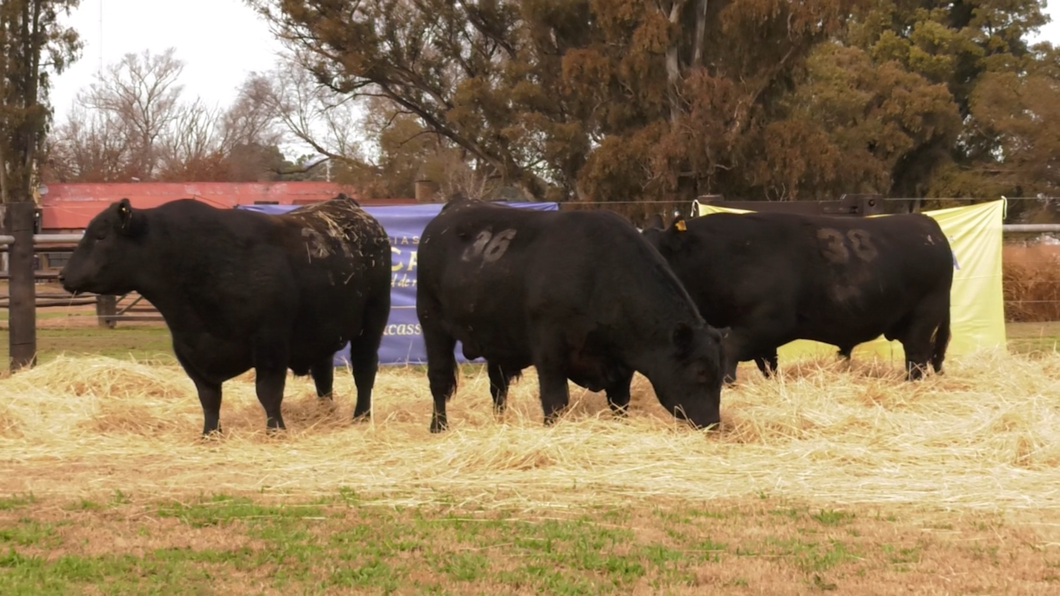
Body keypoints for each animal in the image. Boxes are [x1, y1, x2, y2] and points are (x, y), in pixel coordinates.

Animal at [58, 196, 392, 436]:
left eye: (101, 236)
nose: (63, 276)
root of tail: (346, 205)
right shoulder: (188, 350)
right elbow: (208, 397)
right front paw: (210, 434)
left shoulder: (270, 343)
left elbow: (268, 392)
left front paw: (275, 430)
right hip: (320, 334)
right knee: (324, 376)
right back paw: (325, 413)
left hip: (373, 321)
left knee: (364, 370)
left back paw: (361, 416)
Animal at [415, 197, 729, 428]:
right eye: (700, 371)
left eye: (720, 371)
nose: (712, 423)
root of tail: (456, 206)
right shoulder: (549, 351)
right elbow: (555, 401)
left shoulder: (622, 363)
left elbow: (620, 402)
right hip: (432, 323)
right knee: (439, 380)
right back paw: (438, 426)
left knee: (498, 385)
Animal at [640, 208, 958, 379]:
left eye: (659, 255)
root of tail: (928, 225)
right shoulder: (762, 337)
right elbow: (768, 365)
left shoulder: (762, 325)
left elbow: (729, 355)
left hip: (924, 317)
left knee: (917, 357)